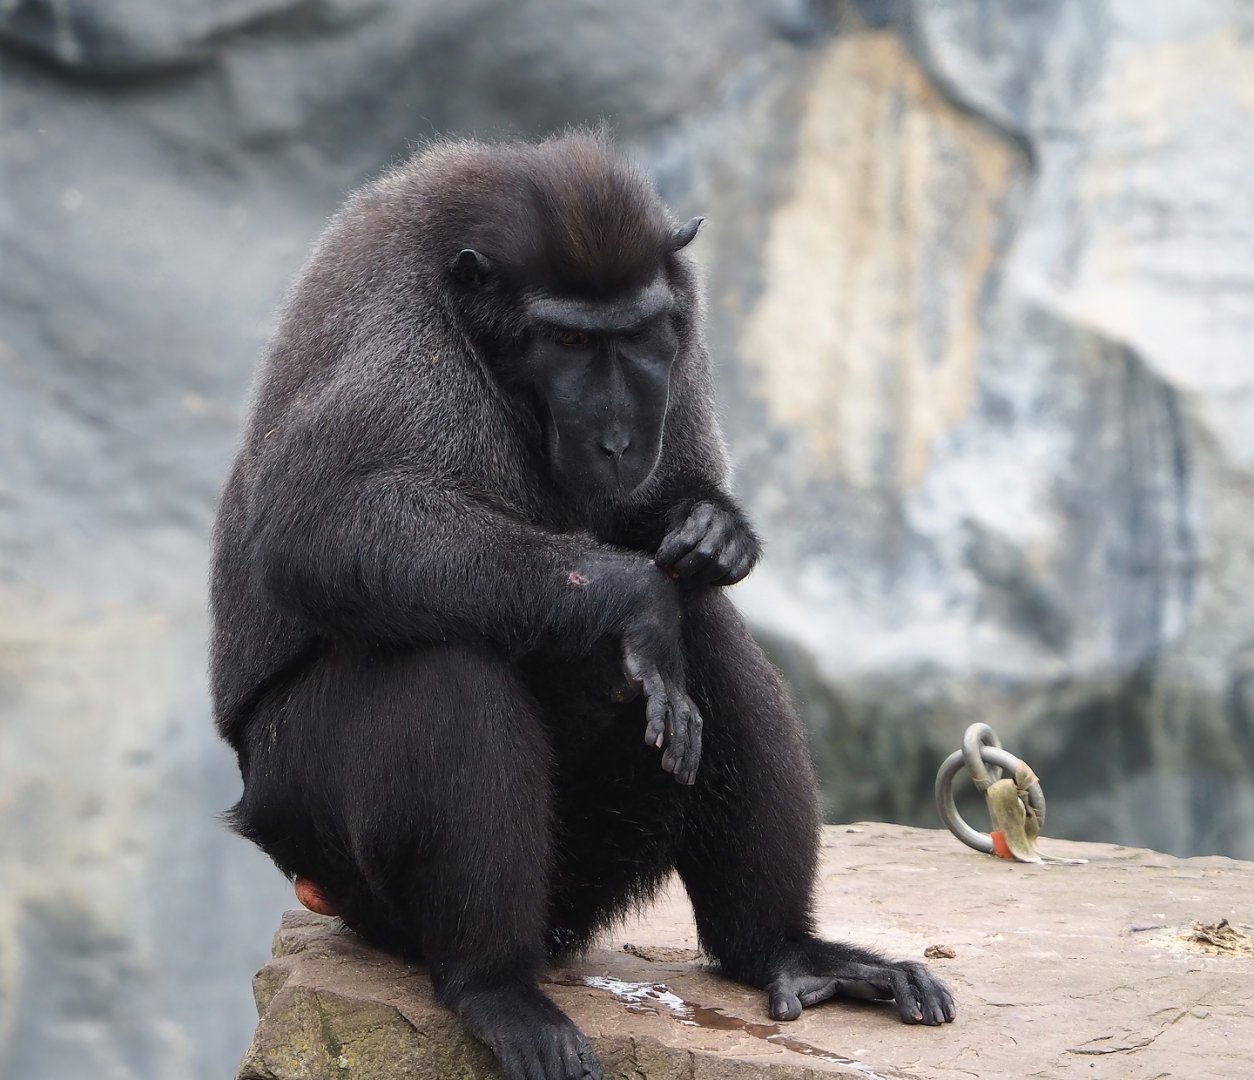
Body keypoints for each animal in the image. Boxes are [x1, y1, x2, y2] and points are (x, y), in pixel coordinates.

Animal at [210, 132, 955, 1080]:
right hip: (320, 840)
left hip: (586, 870)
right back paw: (494, 984)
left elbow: (678, 537)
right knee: (438, 666)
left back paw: (783, 949)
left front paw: (711, 528)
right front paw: (632, 595)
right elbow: (322, 527)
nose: (617, 439)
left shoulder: (683, 321)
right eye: (566, 340)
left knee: (706, 632)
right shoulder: (402, 345)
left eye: (633, 337)